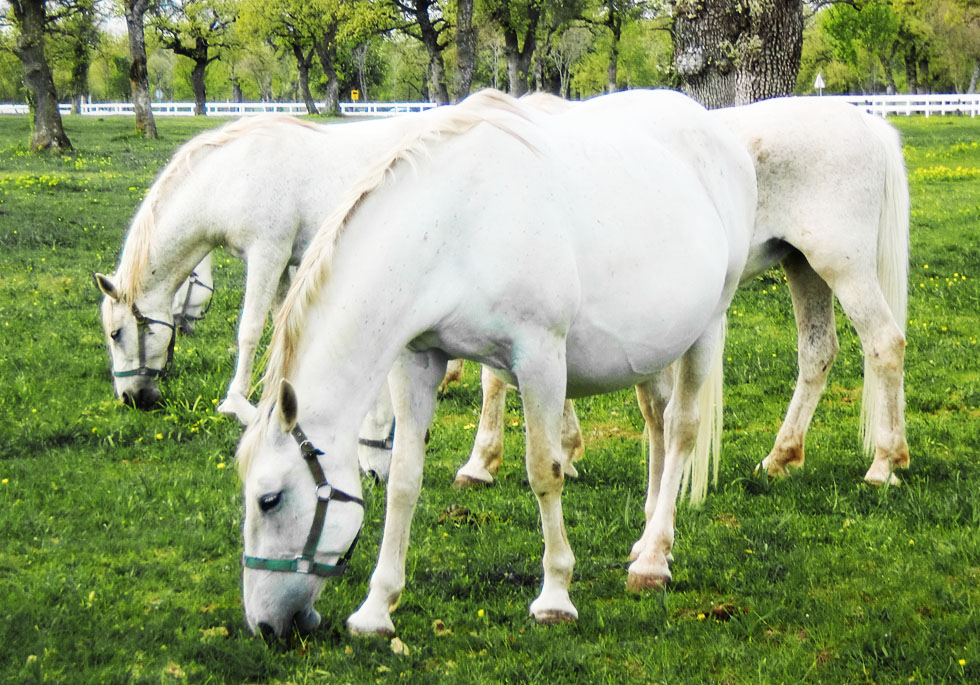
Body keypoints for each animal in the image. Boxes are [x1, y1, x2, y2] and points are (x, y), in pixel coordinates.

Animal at [237, 88, 756, 640]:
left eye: (269, 499)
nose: (265, 624)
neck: (454, 226)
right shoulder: (418, 360)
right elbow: (404, 481)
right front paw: (377, 608)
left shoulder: (541, 360)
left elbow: (545, 472)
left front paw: (555, 596)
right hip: (655, 346)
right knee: (656, 422)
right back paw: (646, 535)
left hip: (708, 327)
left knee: (680, 428)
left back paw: (654, 558)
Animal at [448, 97, 916, 492]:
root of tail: (867, 123)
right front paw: (564, 449)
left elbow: (494, 380)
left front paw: (480, 462)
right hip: (803, 266)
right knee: (817, 354)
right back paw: (780, 456)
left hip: (844, 267)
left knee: (885, 344)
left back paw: (884, 463)